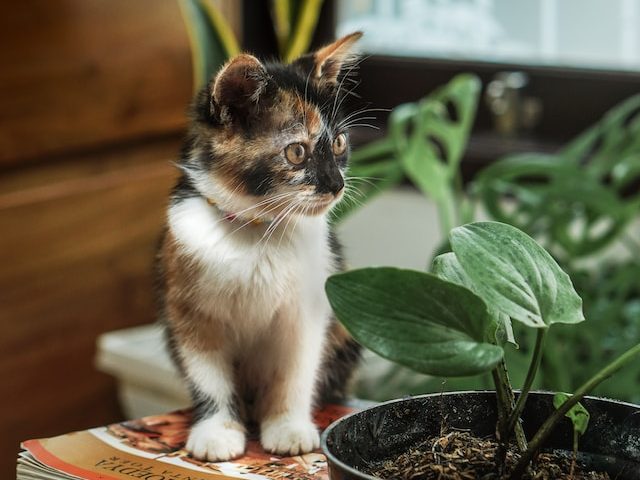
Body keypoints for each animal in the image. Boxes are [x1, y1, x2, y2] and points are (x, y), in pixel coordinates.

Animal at [155, 32, 362, 462]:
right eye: (297, 151)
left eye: (339, 143)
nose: (336, 185)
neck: (258, 230)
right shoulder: (187, 309)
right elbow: (207, 374)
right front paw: (216, 432)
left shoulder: (307, 308)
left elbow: (296, 370)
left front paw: (288, 427)